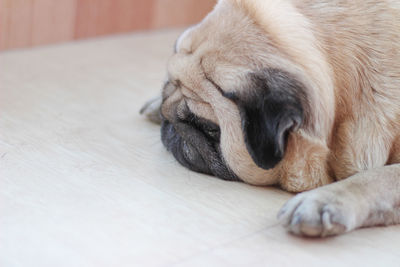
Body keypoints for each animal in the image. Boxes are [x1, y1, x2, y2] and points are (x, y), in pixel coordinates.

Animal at [141, 0, 400, 239]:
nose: (171, 126)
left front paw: (323, 200)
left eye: (208, 128)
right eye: (166, 87)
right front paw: (157, 104)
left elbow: (375, 178)